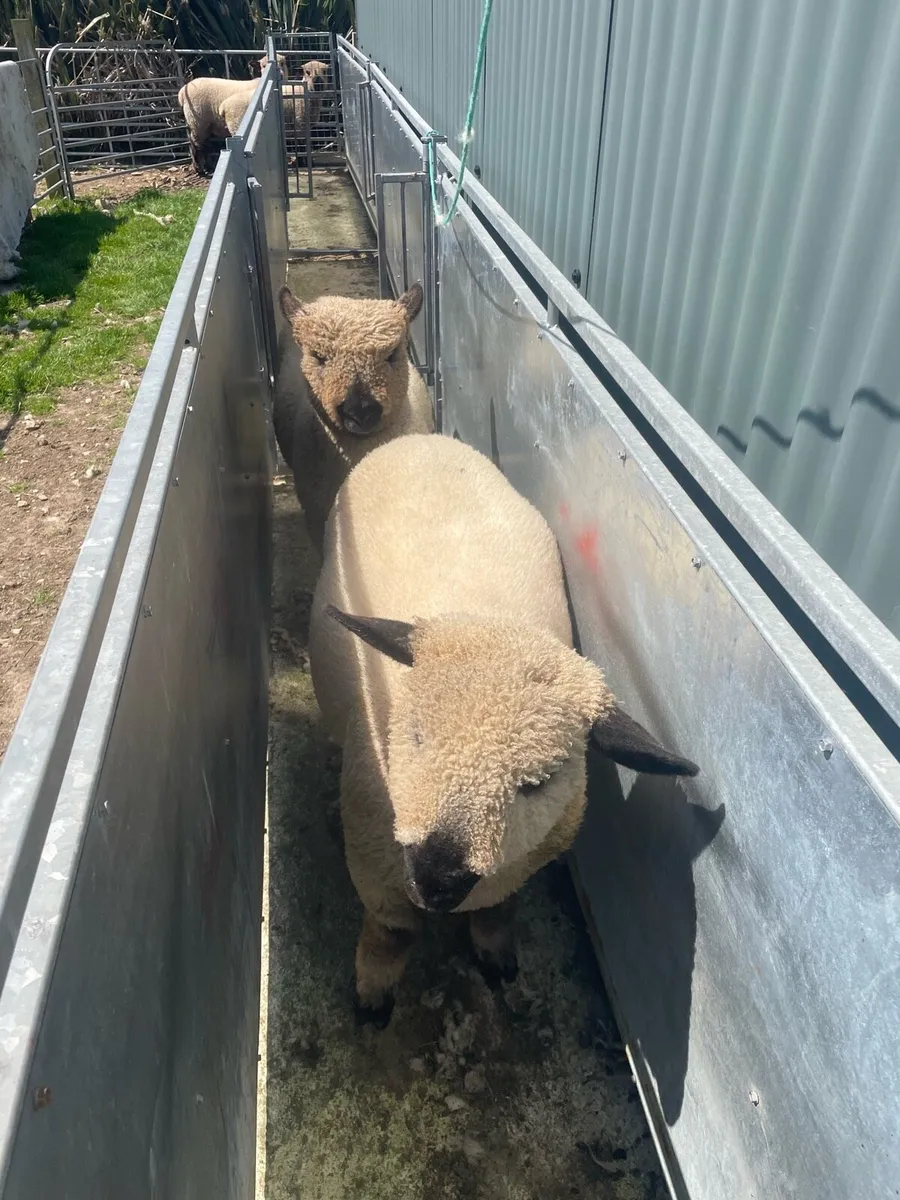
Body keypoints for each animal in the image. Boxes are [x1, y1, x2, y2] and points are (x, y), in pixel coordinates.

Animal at [178, 57, 330, 177]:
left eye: (325, 72)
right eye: (307, 72)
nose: (318, 83)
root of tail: (182, 92)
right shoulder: (299, 123)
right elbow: (303, 145)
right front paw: (305, 163)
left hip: (201, 124)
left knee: (200, 145)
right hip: (199, 121)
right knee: (197, 145)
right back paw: (201, 170)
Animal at [307, 433, 699, 1027]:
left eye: (537, 782)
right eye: (415, 735)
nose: (437, 877)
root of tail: (423, 437)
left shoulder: (518, 866)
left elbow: (498, 913)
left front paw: (496, 958)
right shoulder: (374, 861)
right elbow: (392, 935)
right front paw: (373, 996)